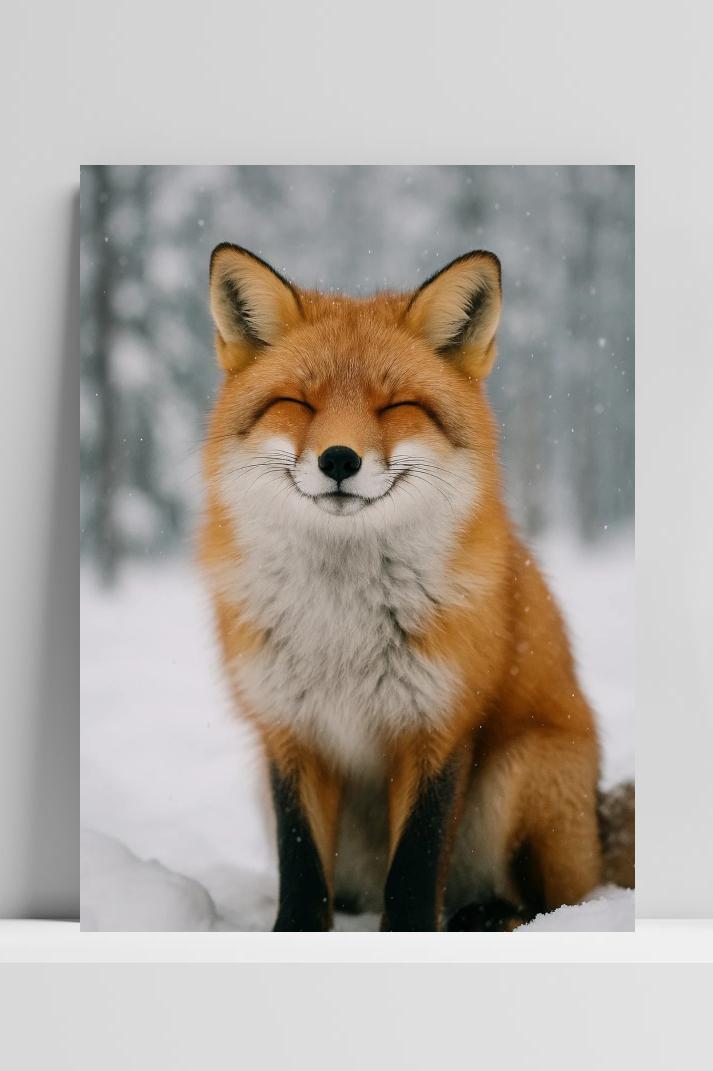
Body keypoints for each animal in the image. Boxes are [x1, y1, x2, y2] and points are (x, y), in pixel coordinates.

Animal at [199, 242, 633, 931]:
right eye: (301, 403)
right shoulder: (288, 730)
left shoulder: (440, 723)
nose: (339, 460)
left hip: (521, 771)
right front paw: (294, 931)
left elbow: (415, 867)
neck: (342, 622)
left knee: (551, 900)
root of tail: (598, 830)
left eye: (394, 406)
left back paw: (486, 915)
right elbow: (302, 869)